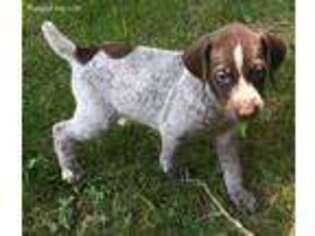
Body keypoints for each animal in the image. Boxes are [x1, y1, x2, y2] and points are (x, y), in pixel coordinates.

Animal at [42, 21, 288, 211]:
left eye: (259, 71)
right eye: (222, 76)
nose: (248, 111)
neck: (211, 101)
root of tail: (82, 52)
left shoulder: (226, 137)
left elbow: (233, 170)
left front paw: (239, 195)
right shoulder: (172, 131)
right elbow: (168, 159)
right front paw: (178, 178)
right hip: (97, 118)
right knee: (60, 130)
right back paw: (70, 170)